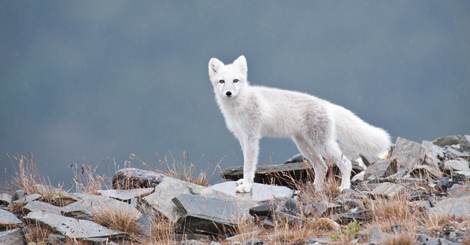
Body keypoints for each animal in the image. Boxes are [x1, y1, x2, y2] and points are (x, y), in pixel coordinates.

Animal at [207, 55, 392, 193]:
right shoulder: (242, 137)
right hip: (305, 146)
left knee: (345, 163)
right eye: (221, 81)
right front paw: (243, 182)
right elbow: (246, 163)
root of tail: (325, 103)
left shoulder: (251, 137)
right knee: (322, 167)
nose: (228, 93)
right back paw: (315, 188)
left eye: (236, 80)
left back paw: (344, 187)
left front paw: (246, 186)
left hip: (321, 144)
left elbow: (248, 166)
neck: (239, 104)